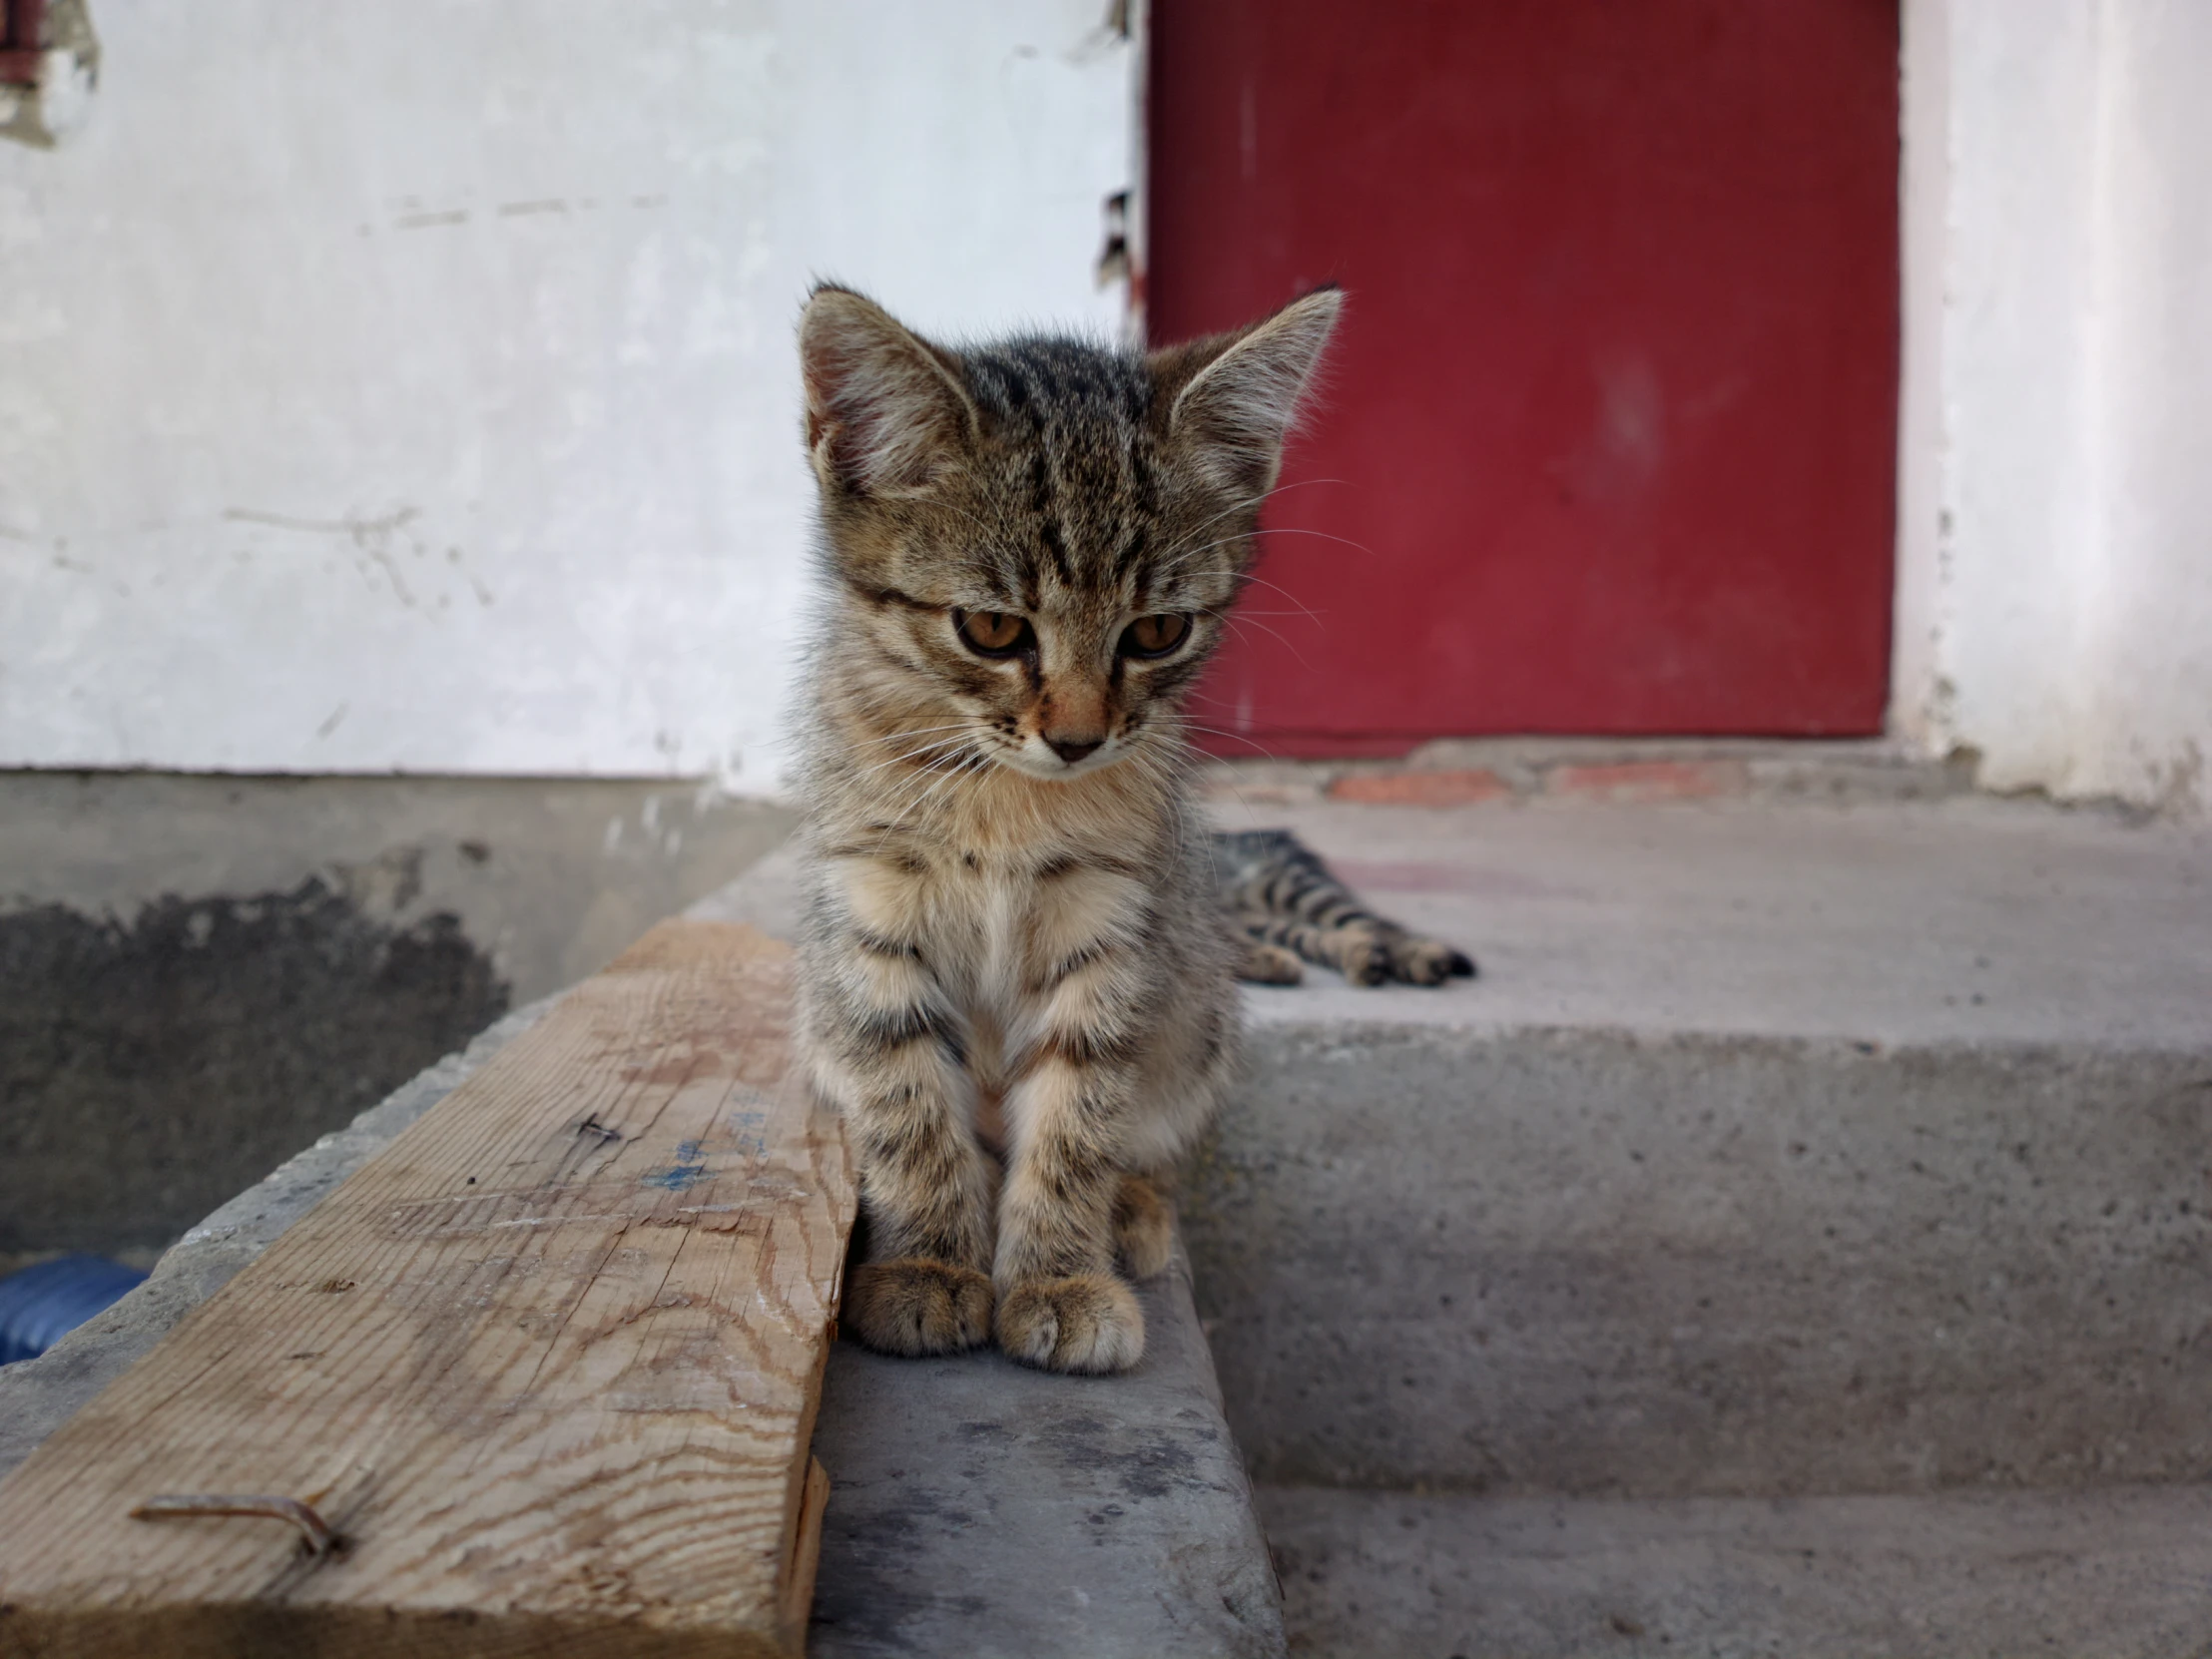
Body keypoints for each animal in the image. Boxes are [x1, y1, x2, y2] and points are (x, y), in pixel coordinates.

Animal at [796, 282, 1345, 1380]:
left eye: (1156, 633)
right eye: (993, 629)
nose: (1081, 737)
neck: (1004, 795)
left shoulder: (1111, 930)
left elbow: (1075, 1120)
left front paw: (1055, 1275)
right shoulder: (873, 913)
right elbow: (907, 1105)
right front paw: (929, 1263)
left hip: (1196, 1017)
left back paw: (1130, 1208)